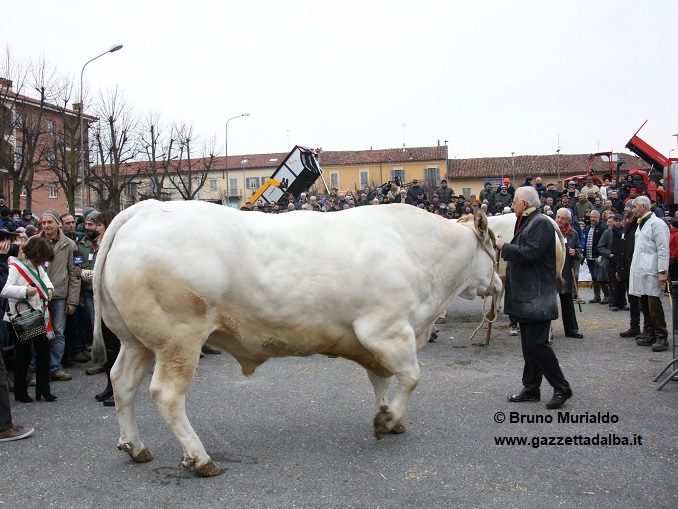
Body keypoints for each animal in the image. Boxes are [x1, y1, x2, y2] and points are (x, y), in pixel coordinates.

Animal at [93, 200, 502, 474]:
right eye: (496, 247)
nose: (499, 285)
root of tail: (143, 210)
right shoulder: (386, 328)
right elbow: (411, 377)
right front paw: (386, 421)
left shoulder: (379, 340)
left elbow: (381, 380)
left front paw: (389, 416)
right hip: (179, 339)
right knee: (166, 394)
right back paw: (200, 458)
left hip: (137, 341)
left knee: (122, 382)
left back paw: (135, 446)